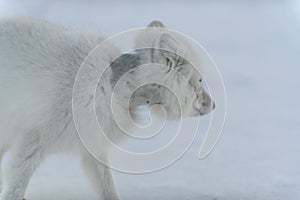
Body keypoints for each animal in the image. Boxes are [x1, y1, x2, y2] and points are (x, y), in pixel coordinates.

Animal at [0, 17, 216, 200]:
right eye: (199, 80)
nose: (214, 105)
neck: (114, 86)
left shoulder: (94, 146)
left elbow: (108, 190)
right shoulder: (34, 141)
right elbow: (15, 188)